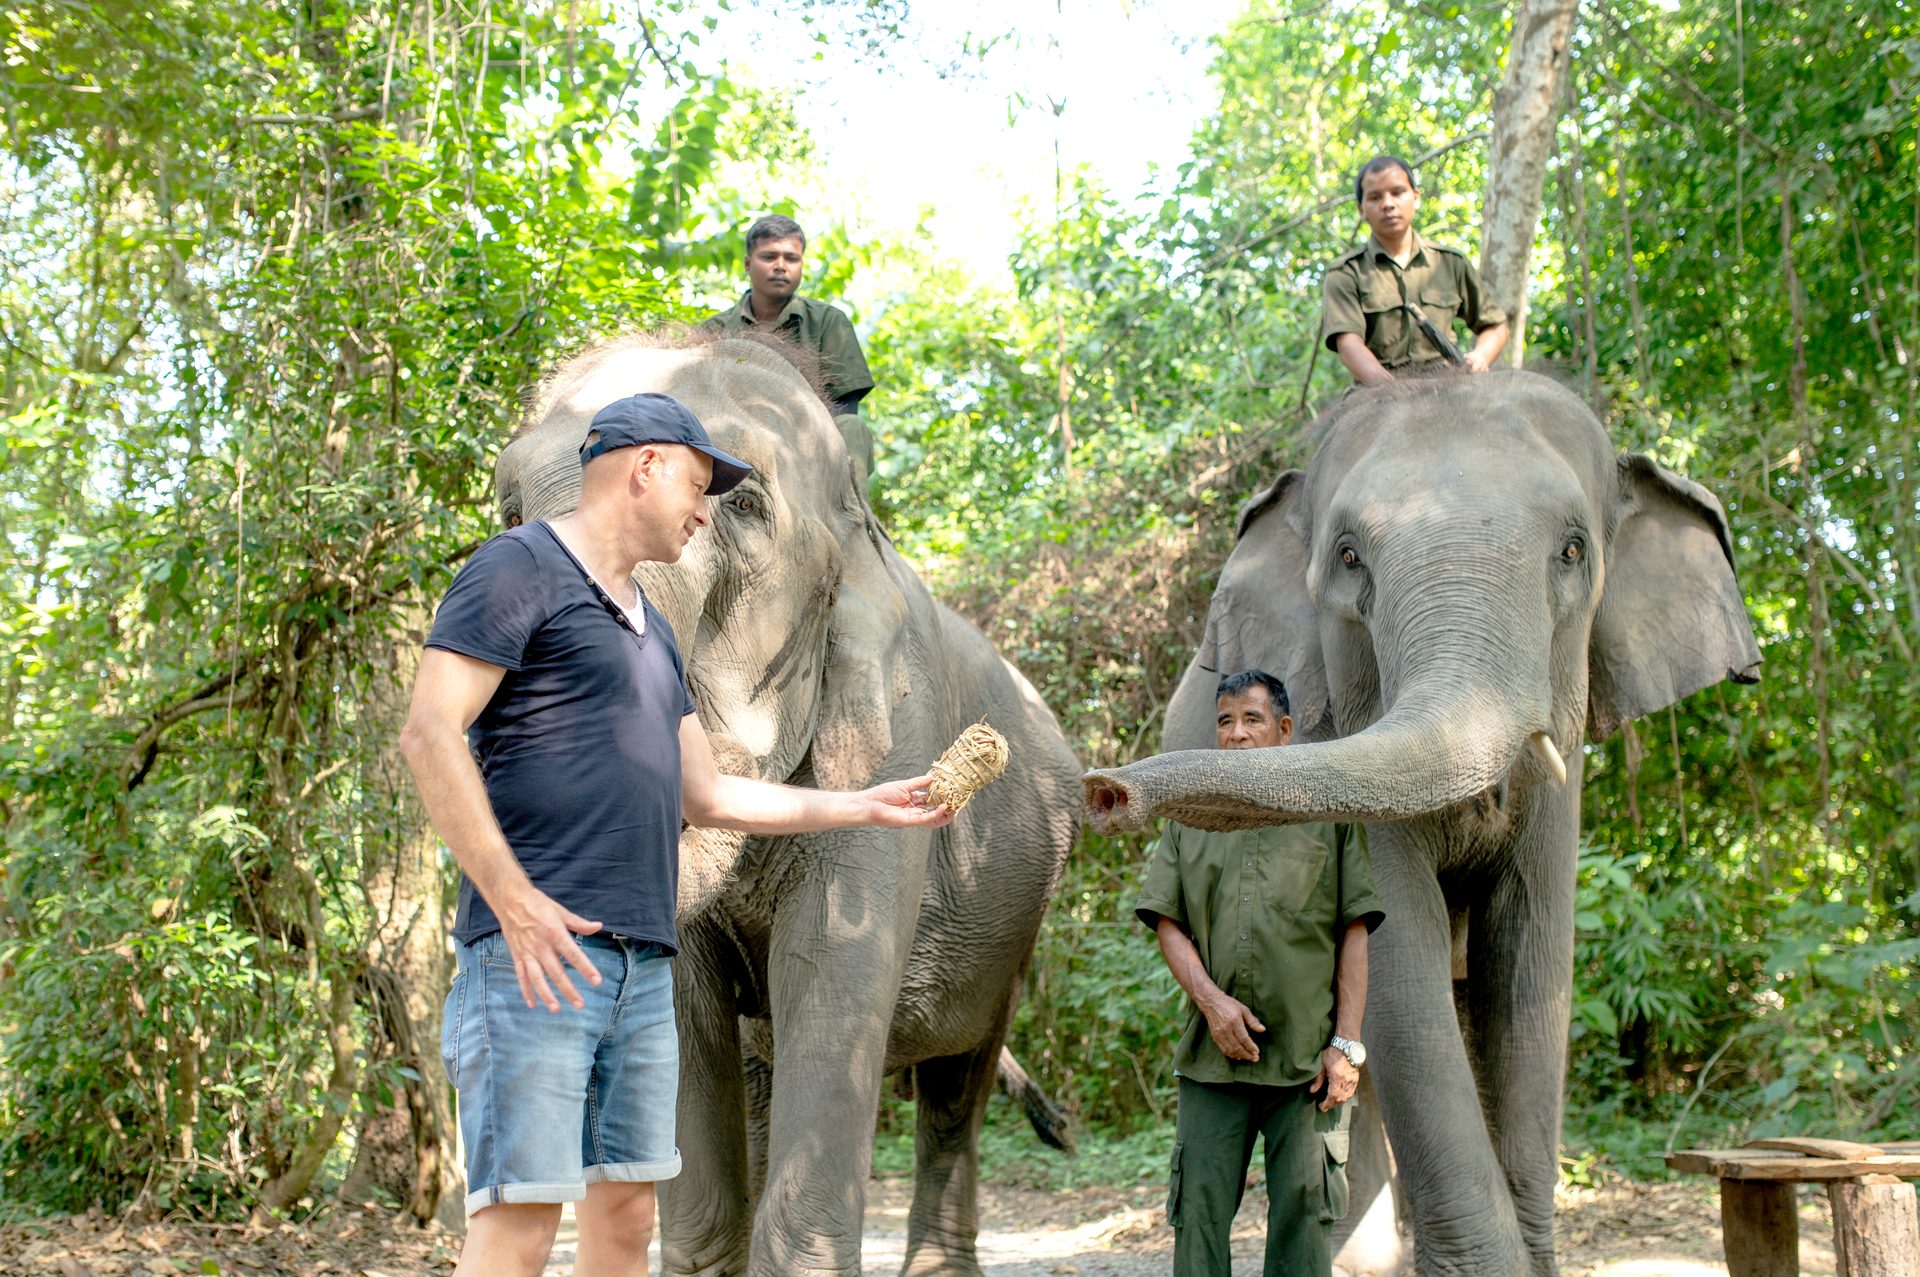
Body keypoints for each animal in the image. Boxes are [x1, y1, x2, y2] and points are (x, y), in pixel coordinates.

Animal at [1083, 370, 1760, 1276]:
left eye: (1574, 550)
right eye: (1347, 556)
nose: (1103, 791)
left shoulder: (1561, 784)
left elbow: (1531, 960)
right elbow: (1398, 957)